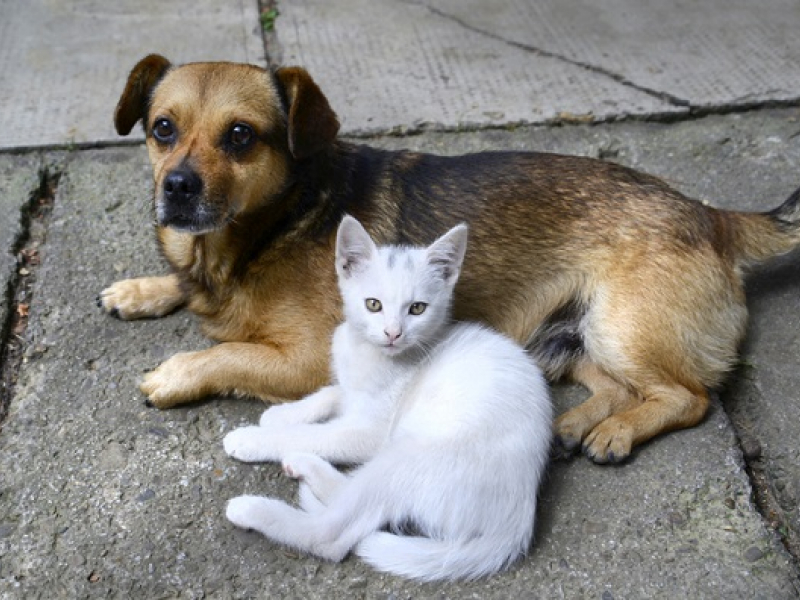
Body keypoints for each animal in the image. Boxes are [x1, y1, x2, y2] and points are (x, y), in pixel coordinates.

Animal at [101, 54, 800, 462]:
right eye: (162, 128)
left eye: (241, 136)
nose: (177, 188)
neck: (271, 226)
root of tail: (712, 215)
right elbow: (184, 286)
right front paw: (142, 289)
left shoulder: (307, 360)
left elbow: (226, 353)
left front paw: (175, 372)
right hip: (572, 339)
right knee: (616, 386)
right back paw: (578, 425)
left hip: (620, 326)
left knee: (689, 397)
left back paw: (618, 432)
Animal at [222, 216, 552, 580]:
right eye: (373, 304)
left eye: (417, 309)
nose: (393, 333)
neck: (369, 353)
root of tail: (516, 523)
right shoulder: (351, 388)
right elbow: (333, 392)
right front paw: (284, 413)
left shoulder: (372, 432)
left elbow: (316, 434)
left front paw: (255, 438)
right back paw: (306, 467)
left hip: (409, 453)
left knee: (333, 535)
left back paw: (253, 507)